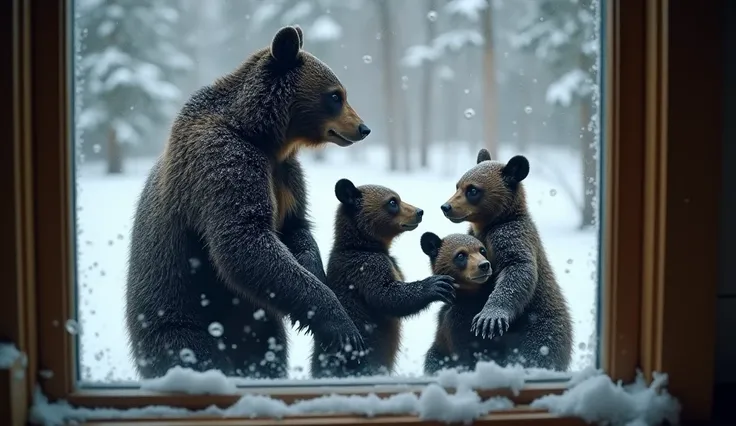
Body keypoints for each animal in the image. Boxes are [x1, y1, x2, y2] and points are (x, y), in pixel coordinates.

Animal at [124, 26, 374, 380]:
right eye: (335, 95)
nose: (363, 128)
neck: (264, 136)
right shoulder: (225, 162)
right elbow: (245, 240)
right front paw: (341, 326)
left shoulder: (287, 176)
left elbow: (296, 226)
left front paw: (314, 269)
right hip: (178, 314)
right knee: (191, 352)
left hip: (257, 326)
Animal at [440, 148, 572, 372]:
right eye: (457, 185)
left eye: (472, 190)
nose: (446, 206)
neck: (488, 226)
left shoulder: (511, 235)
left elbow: (517, 269)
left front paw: (489, 317)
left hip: (539, 332)